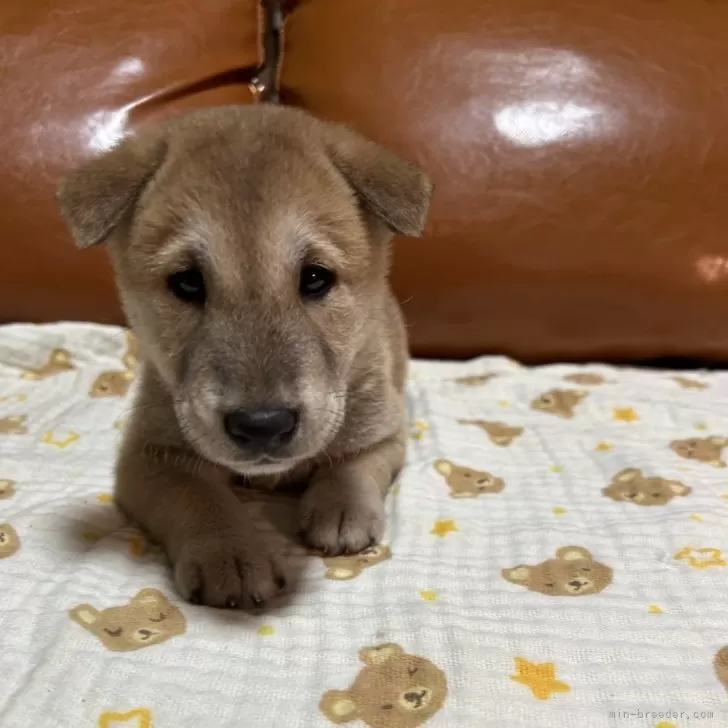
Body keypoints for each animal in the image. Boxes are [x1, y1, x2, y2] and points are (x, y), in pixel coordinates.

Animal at [58, 104, 432, 608]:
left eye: (316, 277)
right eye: (187, 282)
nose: (263, 425)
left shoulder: (385, 432)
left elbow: (353, 464)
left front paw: (341, 508)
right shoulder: (147, 457)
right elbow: (196, 495)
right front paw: (230, 555)